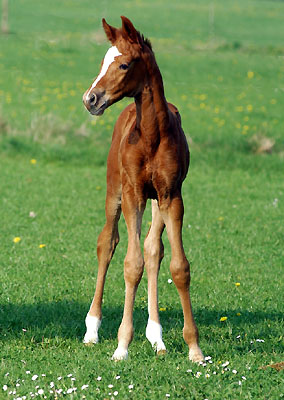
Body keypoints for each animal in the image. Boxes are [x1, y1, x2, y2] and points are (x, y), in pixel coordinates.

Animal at [82, 16, 204, 362]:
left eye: (124, 64)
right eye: (103, 62)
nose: (90, 99)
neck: (151, 135)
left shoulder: (171, 196)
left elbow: (178, 266)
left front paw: (194, 348)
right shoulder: (133, 193)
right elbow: (130, 264)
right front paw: (122, 345)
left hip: (156, 202)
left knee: (153, 249)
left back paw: (157, 337)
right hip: (115, 192)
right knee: (107, 243)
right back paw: (92, 330)